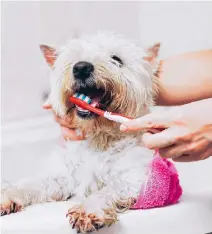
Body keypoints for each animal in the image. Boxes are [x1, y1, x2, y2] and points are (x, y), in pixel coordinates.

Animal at [0, 32, 161, 233]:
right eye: (74, 59)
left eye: (117, 59)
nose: (81, 68)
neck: (98, 137)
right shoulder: (63, 177)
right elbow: (32, 183)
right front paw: (7, 195)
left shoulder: (132, 179)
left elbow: (106, 191)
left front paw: (87, 211)